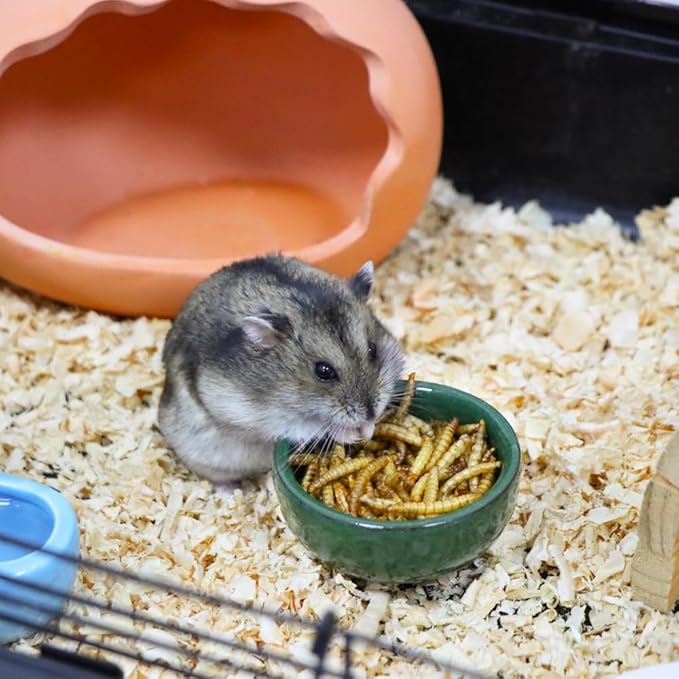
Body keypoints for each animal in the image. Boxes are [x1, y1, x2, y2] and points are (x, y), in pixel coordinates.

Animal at [157, 254, 405, 484]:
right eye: (323, 371)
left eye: (373, 349)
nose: (371, 413)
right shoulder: (248, 413)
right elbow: (312, 426)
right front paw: (354, 434)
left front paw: (369, 429)